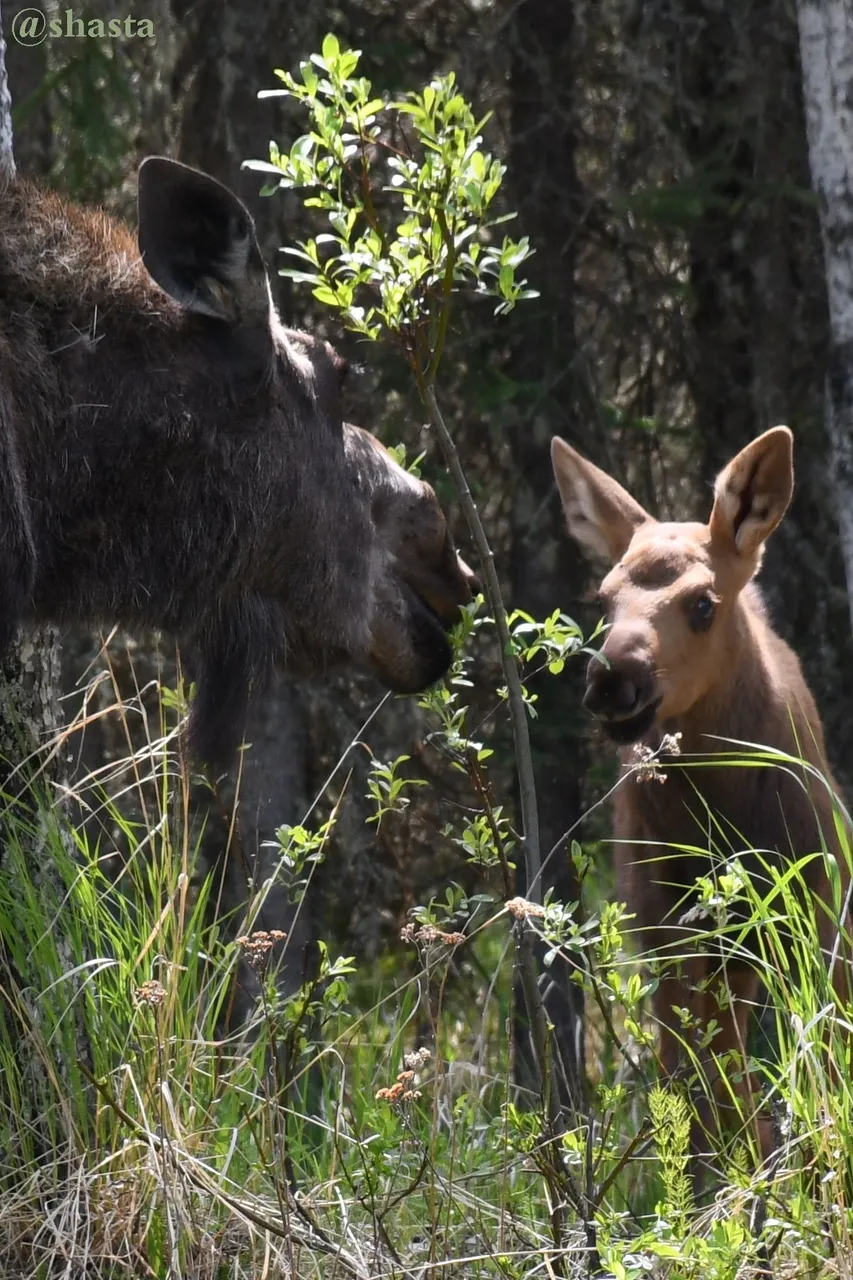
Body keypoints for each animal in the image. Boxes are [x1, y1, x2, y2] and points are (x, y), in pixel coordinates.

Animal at [548, 427, 845, 1162]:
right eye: (602, 599)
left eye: (703, 604)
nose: (612, 682)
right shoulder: (665, 936)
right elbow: (692, 1103)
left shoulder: (814, 920)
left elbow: (816, 1078)